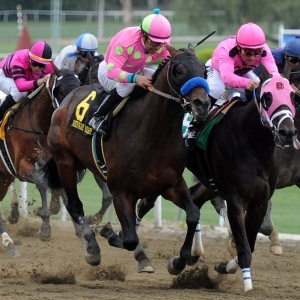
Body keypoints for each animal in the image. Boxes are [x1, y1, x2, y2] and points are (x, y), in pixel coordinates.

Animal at [0, 67, 80, 254]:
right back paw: (8, 240)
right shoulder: (22, 167)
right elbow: (42, 184)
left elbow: (64, 192)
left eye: (79, 85)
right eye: (60, 90)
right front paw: (44, 227)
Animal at [186, 65, 298, 290]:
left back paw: (187, 256)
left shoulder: (260, 199)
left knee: (194, 200)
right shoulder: (236, 198)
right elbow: (245, 245)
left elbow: (250, 243)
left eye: (293, 96)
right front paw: (247, 285)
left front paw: (223, 266)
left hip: (209, 181)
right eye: (267, 97)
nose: (287, 132)